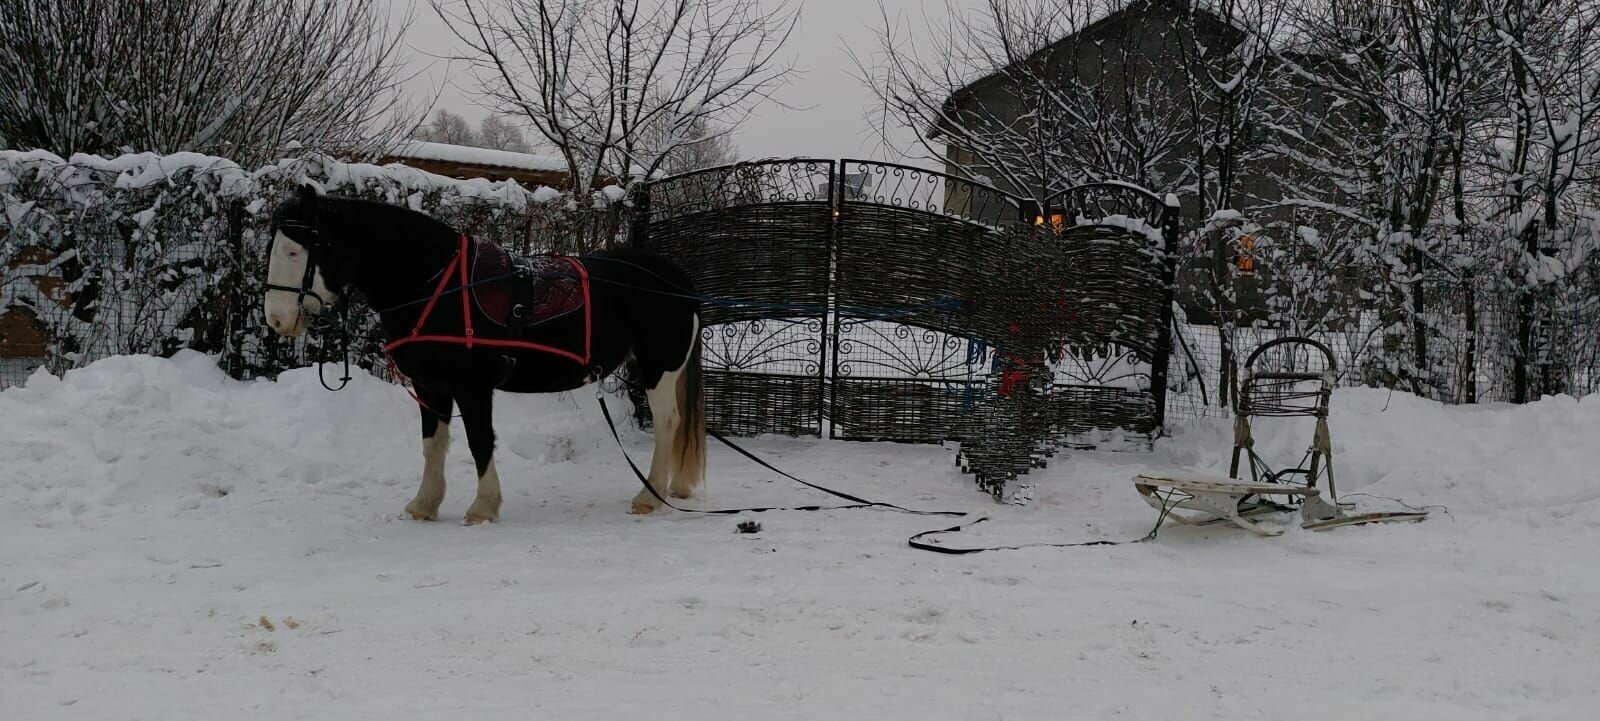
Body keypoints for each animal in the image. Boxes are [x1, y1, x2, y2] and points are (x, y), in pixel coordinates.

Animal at [260, 186, 700, 524]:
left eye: (296, 252)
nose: (277, 320)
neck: (437, 284)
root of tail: (675, 278)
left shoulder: (472, 386)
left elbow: (479, 441)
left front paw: (483, 507)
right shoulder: (431, 385)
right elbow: (433, 444)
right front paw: (424, 504)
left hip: (659, 368)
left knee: (668, 423)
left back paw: (650, 496)